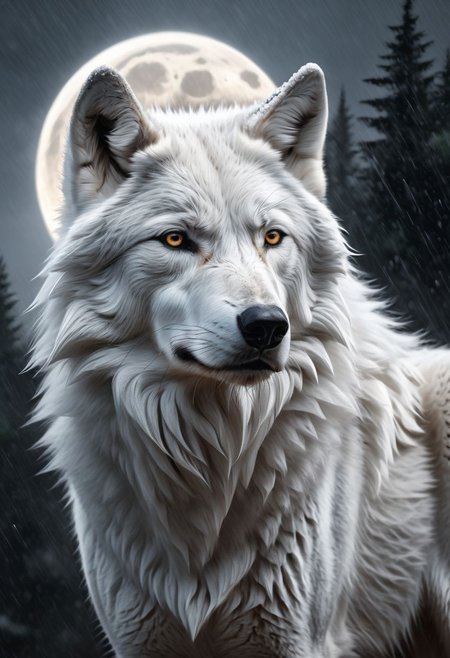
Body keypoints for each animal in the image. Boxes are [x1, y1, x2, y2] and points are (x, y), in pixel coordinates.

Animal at [30, 62, 450, 657]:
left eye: (272, 237)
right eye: (176, 239)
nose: (267, 326)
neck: (211, 450)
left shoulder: (298, 640)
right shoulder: (140, 641)